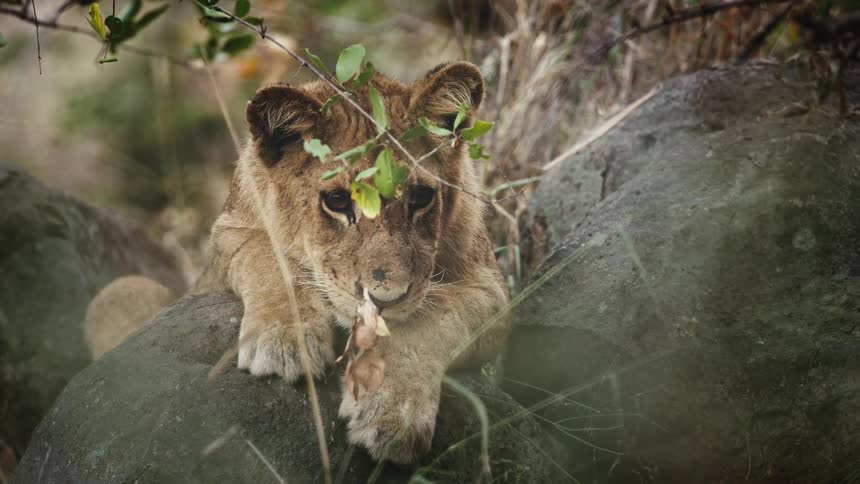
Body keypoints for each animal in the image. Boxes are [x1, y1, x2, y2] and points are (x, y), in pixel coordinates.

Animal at [86, 61, 511, 463]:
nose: (385, 299)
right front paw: (284, 341)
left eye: (421, 198)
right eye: (338, 201)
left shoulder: (492, 289)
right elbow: (268, 256)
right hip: (121, 289)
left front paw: (392, 412)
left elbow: (430, 317)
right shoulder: (228, 233)